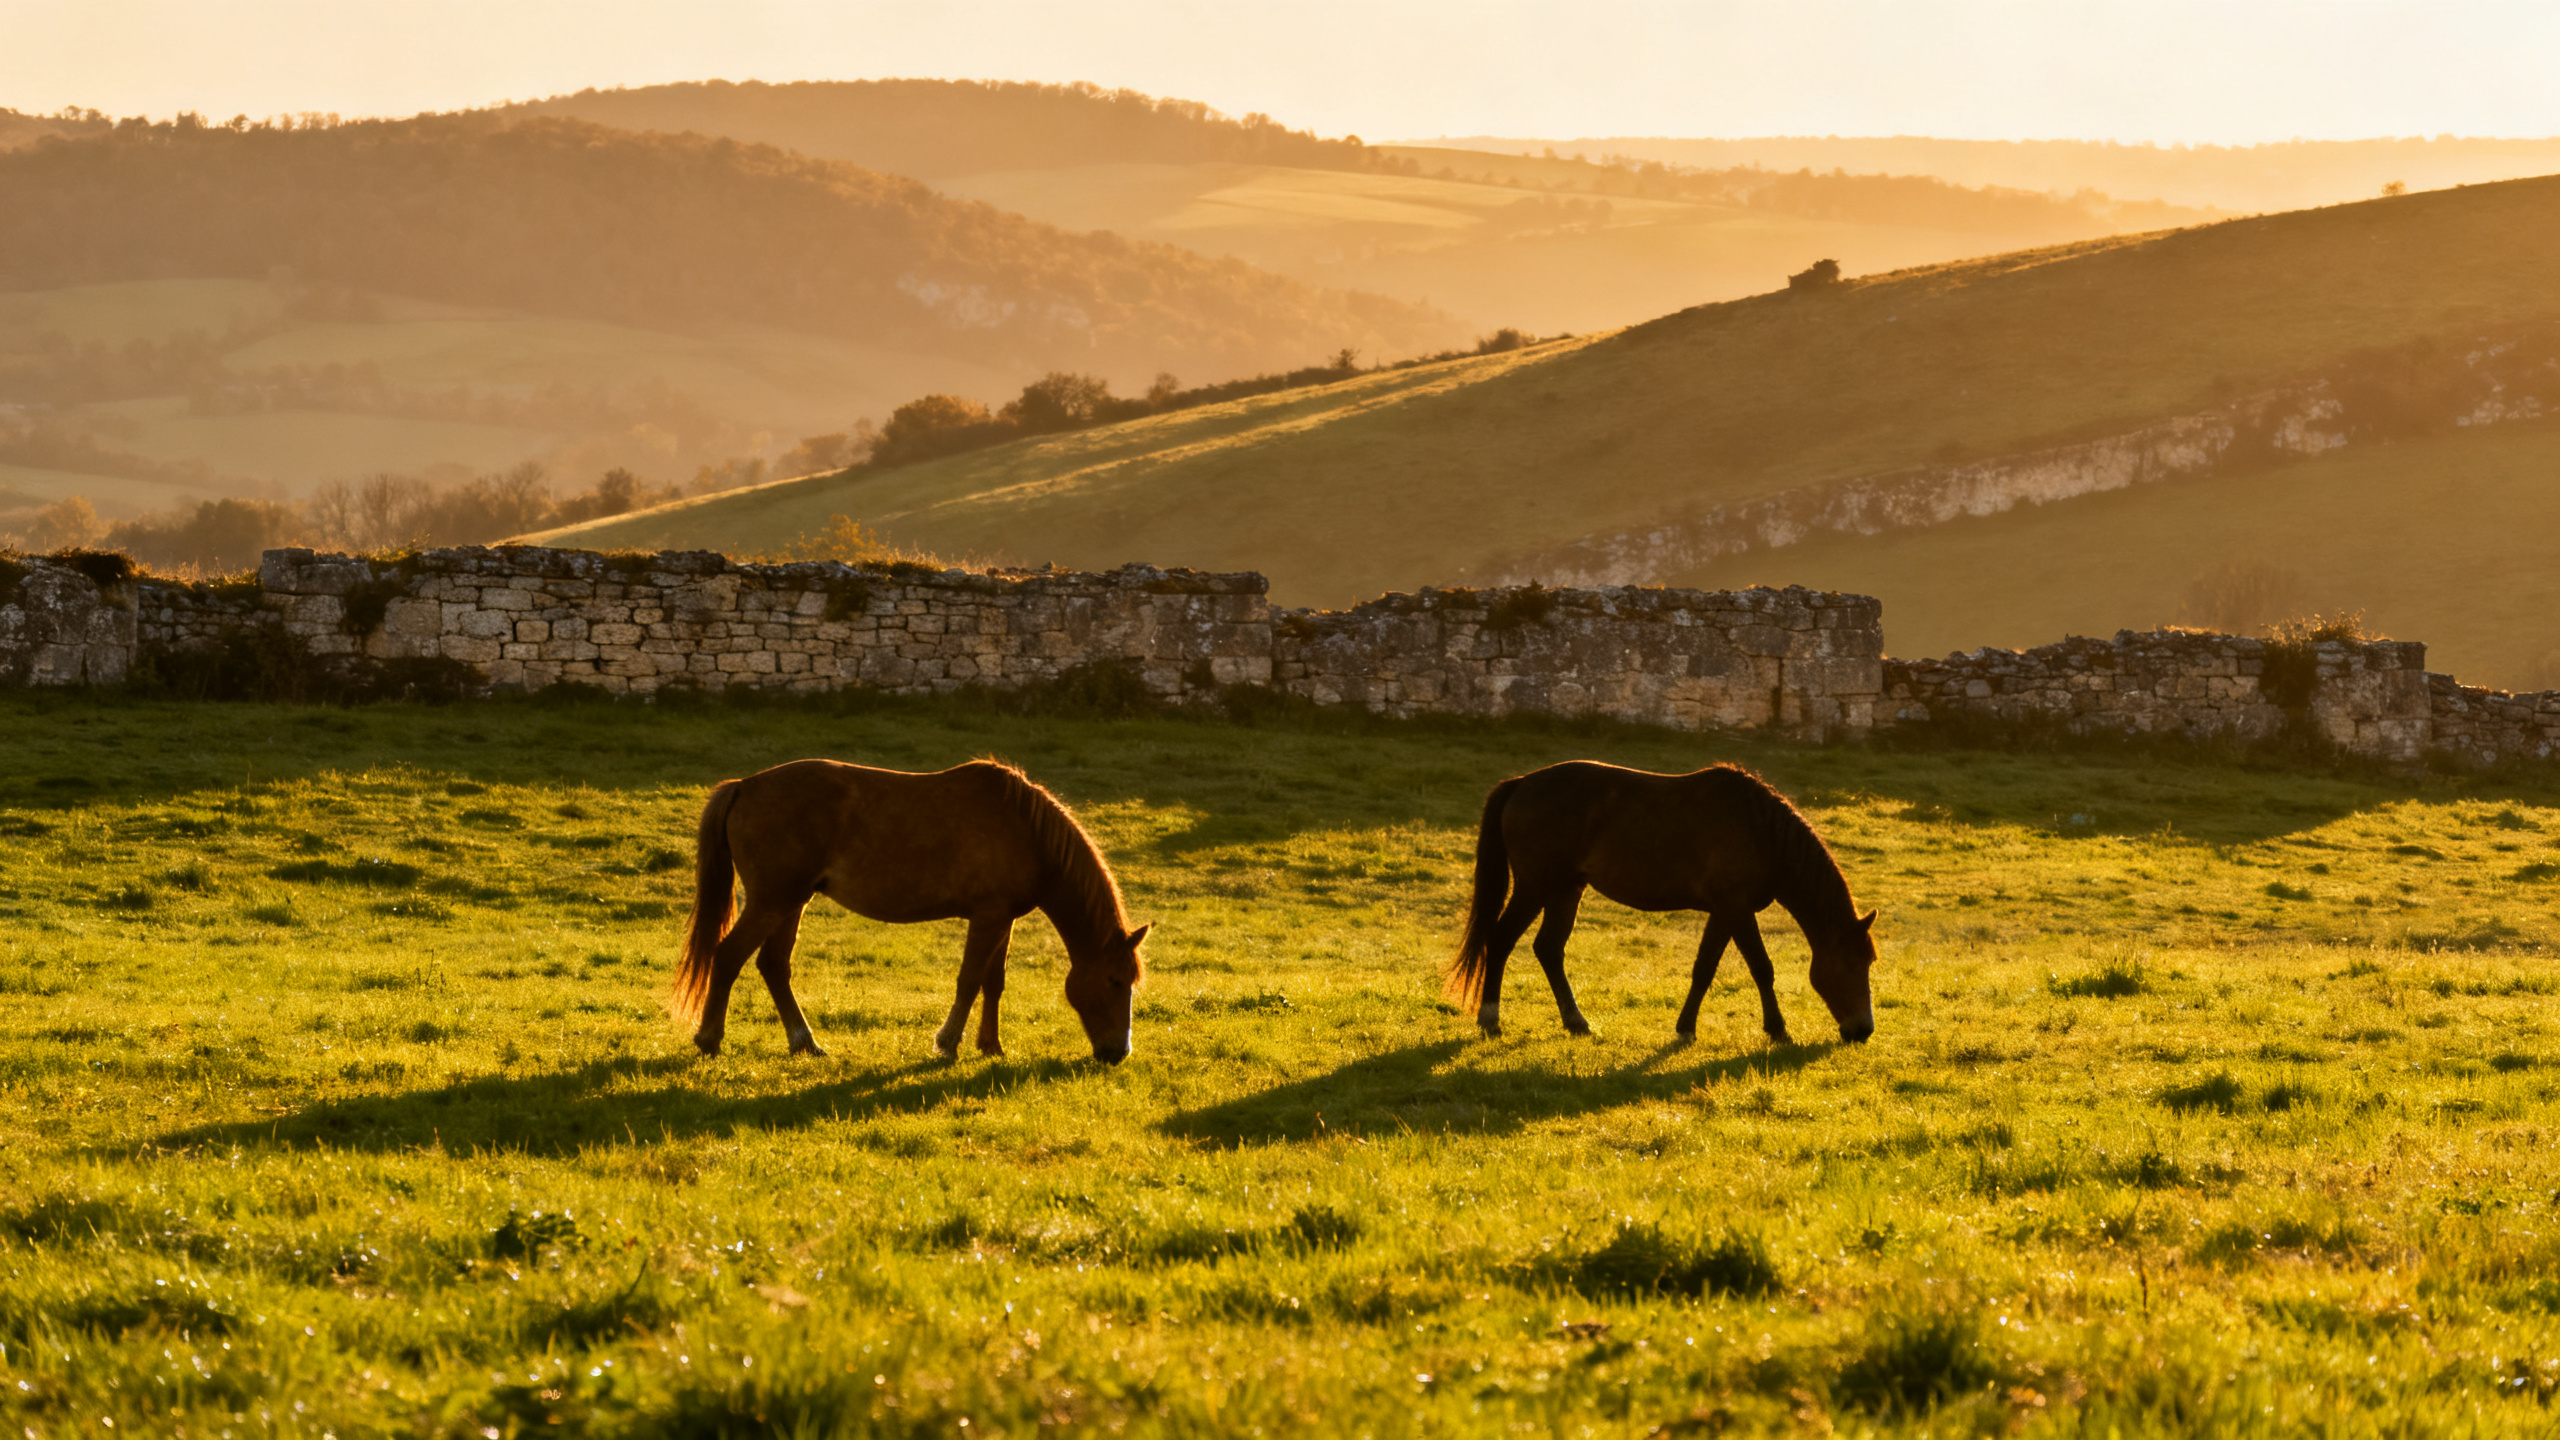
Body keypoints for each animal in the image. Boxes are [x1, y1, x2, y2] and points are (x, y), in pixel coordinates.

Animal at [672, 759, 1151, 1063]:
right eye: (1114, 980)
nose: (1118, 1053)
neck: (1027, 832)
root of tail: (744, 785)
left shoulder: (1004, 919)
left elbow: (994, 983)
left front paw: (991, 1047)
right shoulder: (988, 917)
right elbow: (969, 981)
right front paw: (948, 1044)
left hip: (791, 902)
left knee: (773, 966)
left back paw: (805, 1043)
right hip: (773, 901)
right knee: (727, 956)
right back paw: (710, 1039)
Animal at [1446, 761, 1878, 1045]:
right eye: (1856, 962)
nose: (1864, 1031)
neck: (1760, 831)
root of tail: (1520, 784)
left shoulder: (1723, 912)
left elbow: (1704, 970)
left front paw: (1686, 1028)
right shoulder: (1737, 909)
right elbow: (1762, 968)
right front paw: (1778, 1030)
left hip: (1566, 890)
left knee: (1548, 949)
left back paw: (1576, 1022)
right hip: (1535, 887)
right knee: (1500, 940)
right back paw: (1490, 1020)